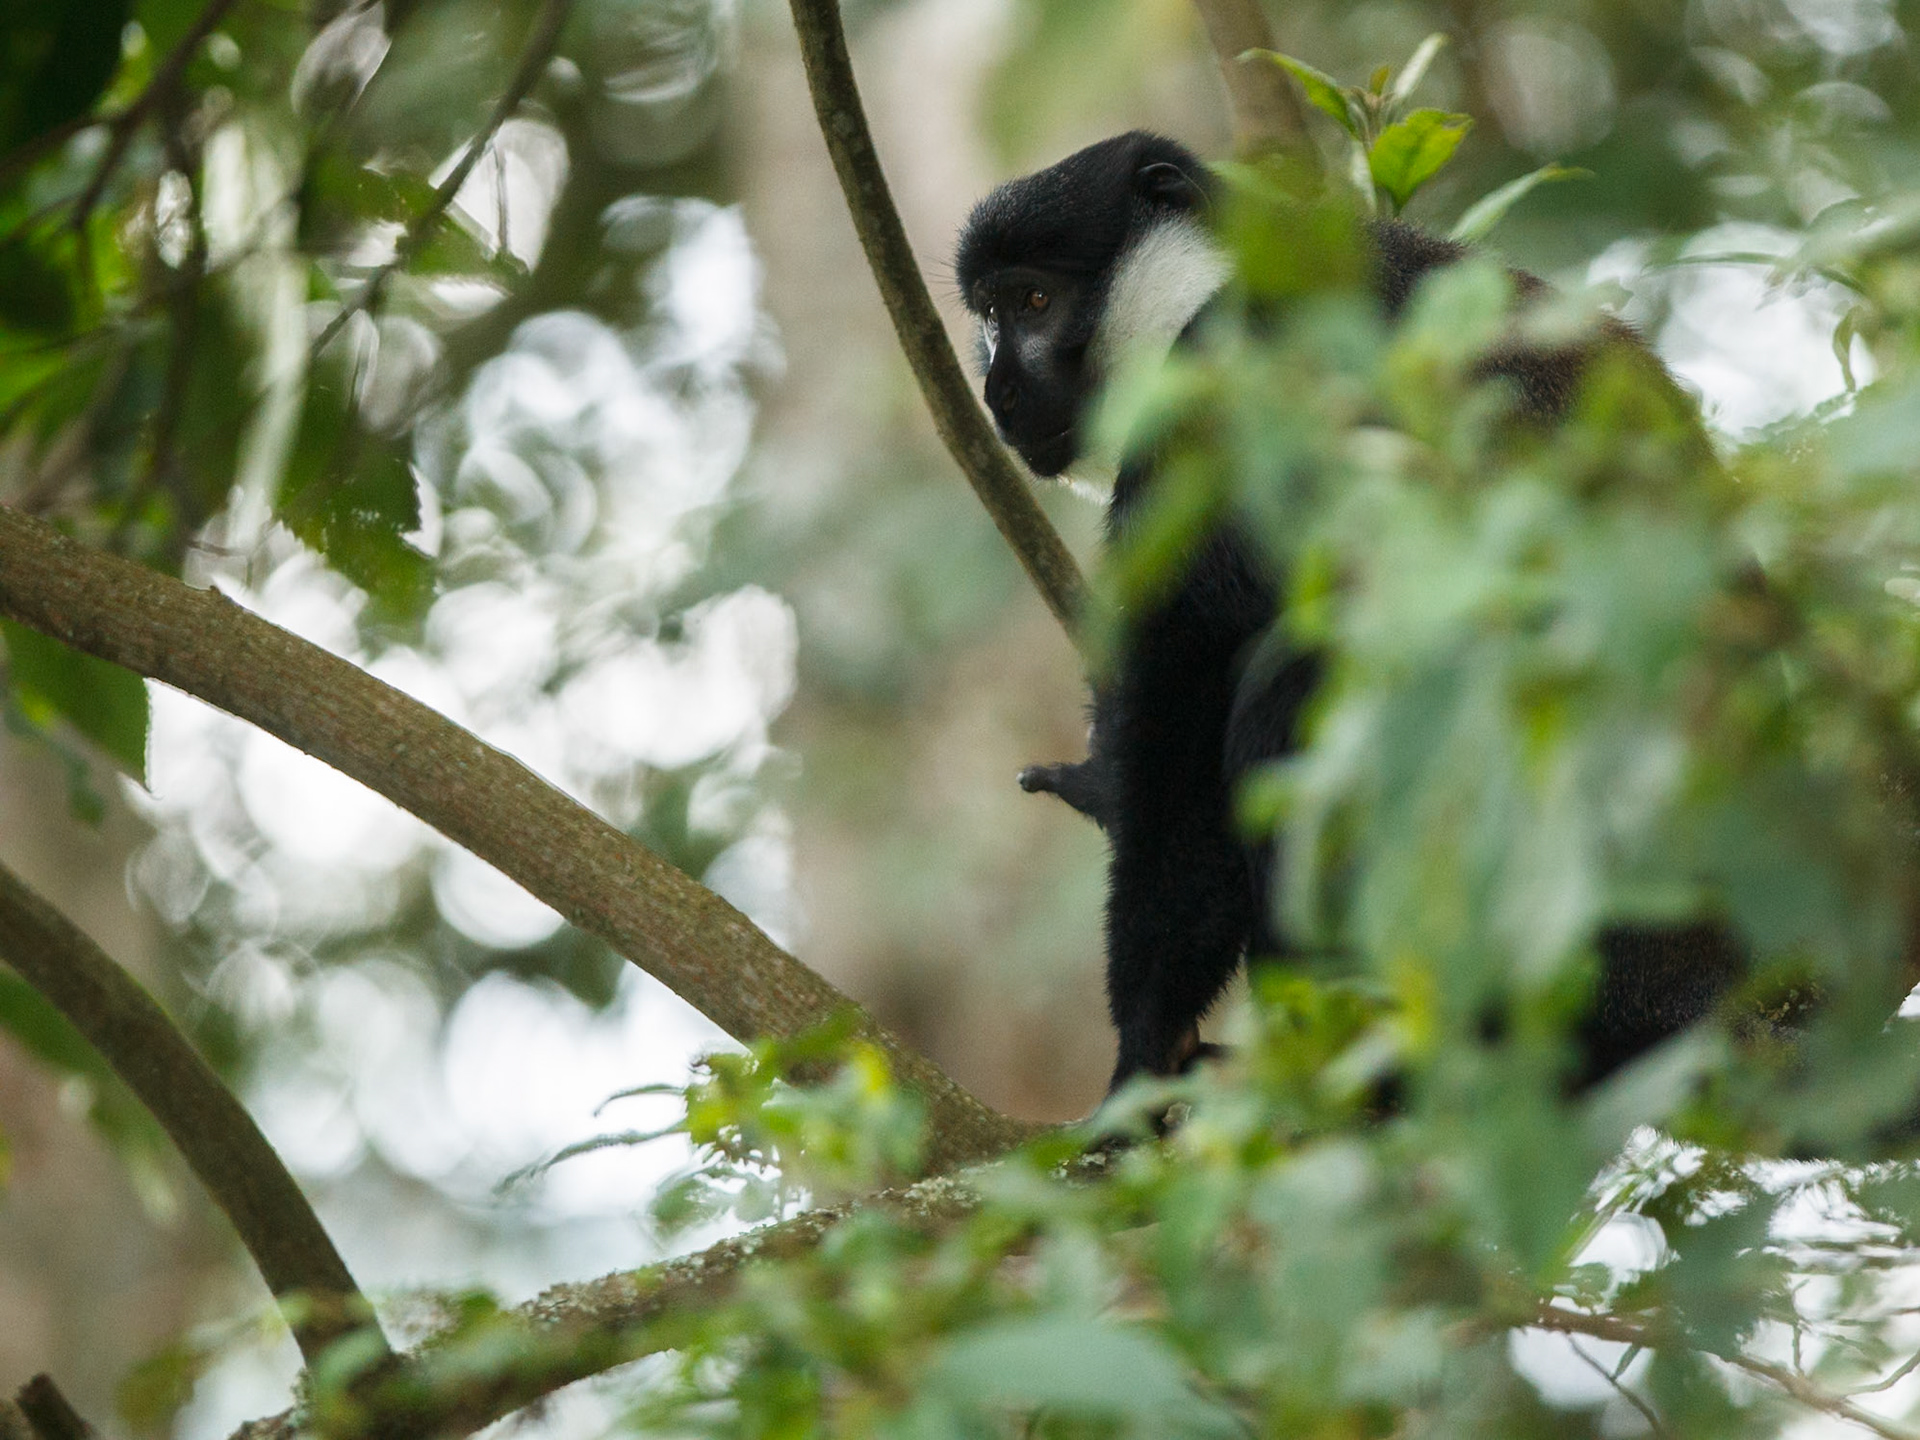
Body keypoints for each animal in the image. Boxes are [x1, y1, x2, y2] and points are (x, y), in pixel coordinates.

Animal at [955, 131, 1745, 1096]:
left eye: (1034, 301)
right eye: (987, 315)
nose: (998, 393)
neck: (1209, 285)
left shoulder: (1220, 403)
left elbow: (1186, 730)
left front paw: (1144, 1058)